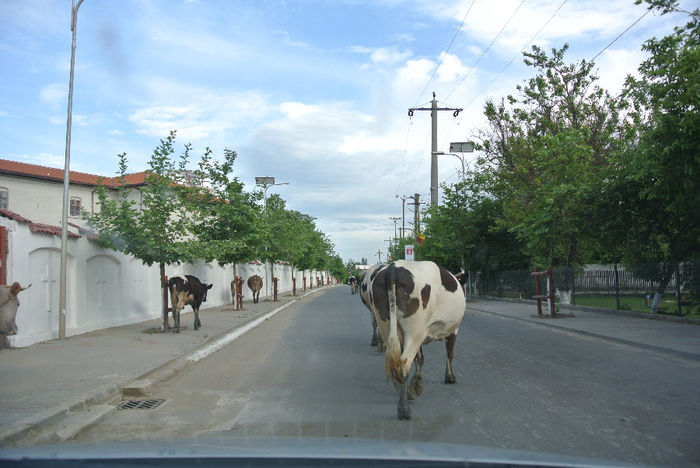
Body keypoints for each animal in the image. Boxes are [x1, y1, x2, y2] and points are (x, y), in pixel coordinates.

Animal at [366, 260, 464, 420]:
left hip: (386, 326)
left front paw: (416, 383)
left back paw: (403, 391)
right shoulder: (452, 331)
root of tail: (393, 269)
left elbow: (420, 358)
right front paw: (449, 377)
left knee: (395, 363)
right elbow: (449, 354)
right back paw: (404, 409)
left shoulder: (422, 333)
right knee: (403, 364)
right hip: (414, 331)